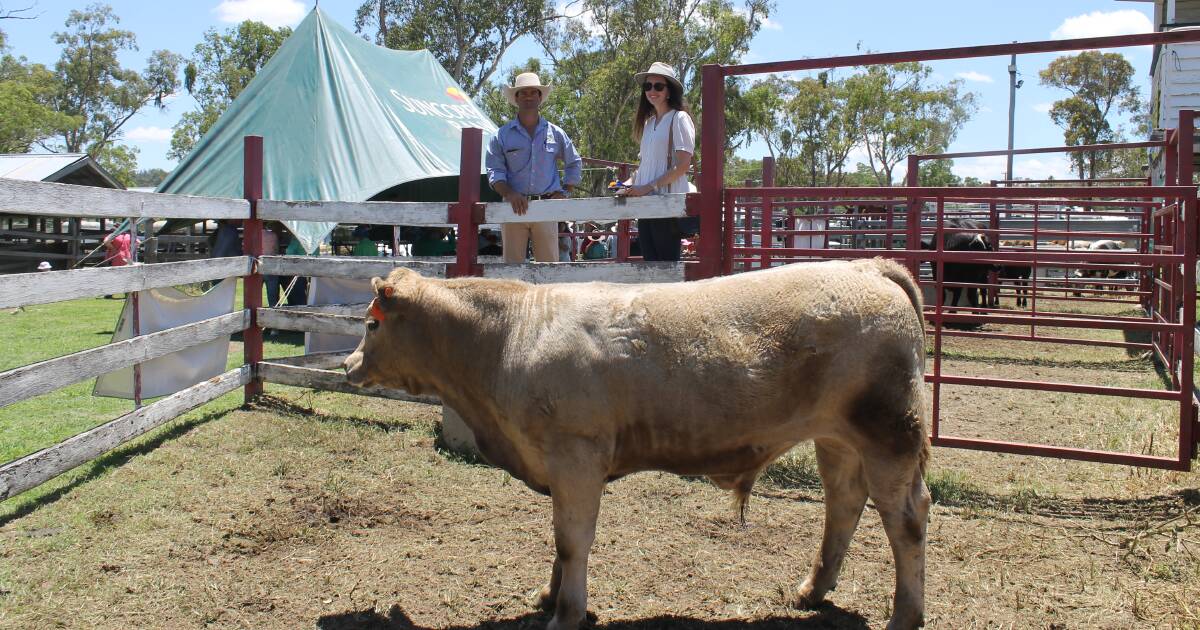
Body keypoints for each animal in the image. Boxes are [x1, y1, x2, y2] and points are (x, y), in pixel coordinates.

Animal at [343, 256, 931, 628]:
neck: (511, 336)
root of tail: (864, 267)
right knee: (844, 504)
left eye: (371, 324)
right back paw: (812, 591)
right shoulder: (560, 467)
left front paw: (565, 614)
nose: (347, 365)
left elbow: (572, 540)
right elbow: (560, 539)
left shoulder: (576, 456)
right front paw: (548, 595)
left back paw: (904, 616)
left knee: (906, 520)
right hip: (838, 438)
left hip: (888, 434)